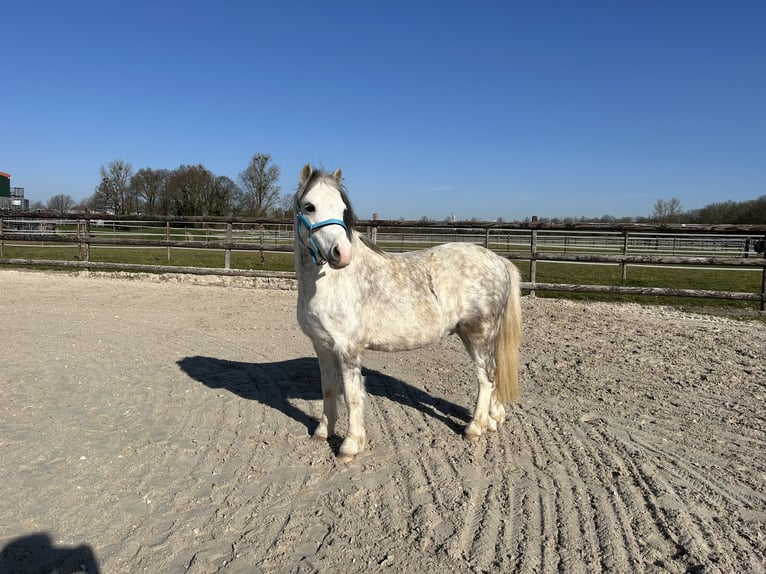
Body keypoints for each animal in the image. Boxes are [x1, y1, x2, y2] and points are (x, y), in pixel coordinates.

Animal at [294, 164, 520, 462]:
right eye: (310, 207)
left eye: (342, 209)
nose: (342, 254)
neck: (329, 283)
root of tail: (498, 260)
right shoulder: (323, 348)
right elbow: (329, 389)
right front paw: (322, 432)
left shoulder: (348, 350)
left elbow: (352, 396)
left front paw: (350, 445)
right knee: (493, 377)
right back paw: (494, 420)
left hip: (478, 335)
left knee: (486, 377)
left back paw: (475, 427)